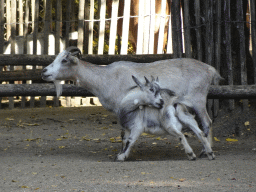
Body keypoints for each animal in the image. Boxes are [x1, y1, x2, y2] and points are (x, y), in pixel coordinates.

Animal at [42, 47, 222, 149]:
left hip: (198, 100)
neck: (105, 77)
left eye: (64, 60)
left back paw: (205, 151)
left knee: (207, 122)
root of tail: (210, 69)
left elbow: (125, 131)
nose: (44, 72)